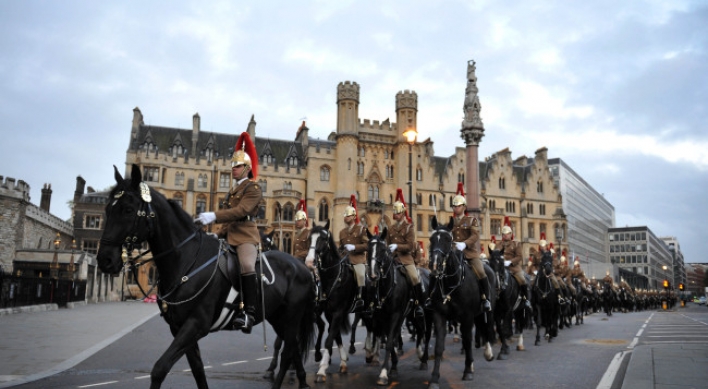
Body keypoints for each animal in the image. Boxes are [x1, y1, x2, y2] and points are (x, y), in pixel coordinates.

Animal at [96, 164, 316, 388]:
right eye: (107, 209)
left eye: (128, 209)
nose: (105, 259)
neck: (186, 260)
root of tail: (301, 267)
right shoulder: (179, 328)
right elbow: (197, 370)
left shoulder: (196, 325)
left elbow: (159, 368)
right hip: (278, 317)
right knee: (292, 349)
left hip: (291, 317)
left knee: (288, 352)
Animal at [308, 221, 354, 382]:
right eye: (309, 238)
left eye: (323, 238)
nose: (309, 261)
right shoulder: (330, 312)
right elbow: (334, 334)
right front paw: (342, 362)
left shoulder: (338, 311)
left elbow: (329, 338)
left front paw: (322, 369)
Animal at [366, 229, 432, 384]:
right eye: (368, 249)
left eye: (383, 250)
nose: (373, 275)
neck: (389, 285)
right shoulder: (383, 318)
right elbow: (391, 340)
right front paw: (394, 367)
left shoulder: (396, 315)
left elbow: (390, 342)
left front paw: (384, 373)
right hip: (412, 315)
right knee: (419, 330)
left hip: (427, 314)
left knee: (426, 334)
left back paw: (424, 359)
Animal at [424, 215, 496, 388]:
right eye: (431, 239)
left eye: (448, 239)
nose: (434, 265)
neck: (451, 282)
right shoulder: (439, 316)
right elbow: (438, 347)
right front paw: (434, 378)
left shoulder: (467, 316)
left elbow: (468, 340)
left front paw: (468, 371)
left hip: (488, 309)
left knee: (488, 326)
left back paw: (488, 353)